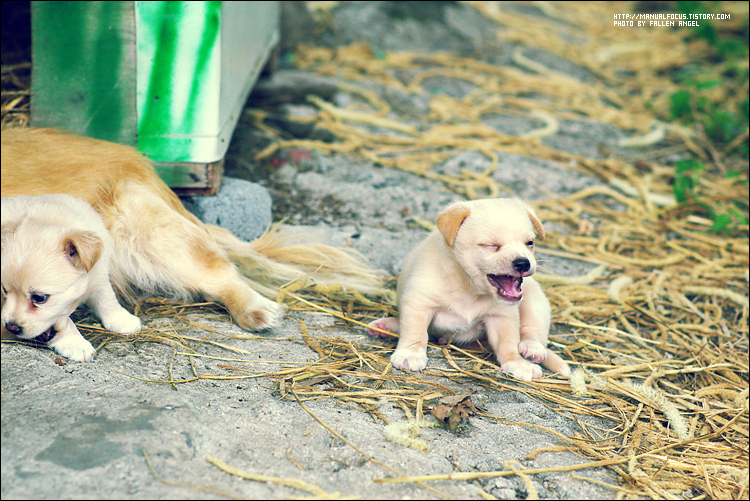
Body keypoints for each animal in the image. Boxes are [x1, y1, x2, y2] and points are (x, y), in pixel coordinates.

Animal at [1, 125, 388, 338]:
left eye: (39, 298)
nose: (13, 328)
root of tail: (136, 157)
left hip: (143, 232)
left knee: (219, 271)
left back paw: (255, 309)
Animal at [1, 193, 142, 362]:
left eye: (39, 298)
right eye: (4, 290)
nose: (11, 327)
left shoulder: (98, 271)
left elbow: (106, 296)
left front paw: (121, 319)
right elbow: (65, 322)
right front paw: (75, 343)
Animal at [368, 197, 568, 380]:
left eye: (530, 243)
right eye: (491, 245)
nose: (523, 263)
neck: (469, 288)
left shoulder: (502, 316)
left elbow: (508, 343)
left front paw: (517, 363)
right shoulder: (419, 302)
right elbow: (415, 332)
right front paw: (411, 353)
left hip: (535, 302)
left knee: (532, 331)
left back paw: (532, 348)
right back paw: (386, 326)